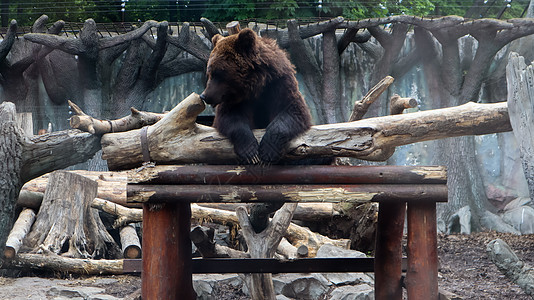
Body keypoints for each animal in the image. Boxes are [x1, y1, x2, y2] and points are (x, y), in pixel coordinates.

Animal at [199, 27, 312, 164]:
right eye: (209, 72)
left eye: (217, 74)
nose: (204, 96)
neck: (256, 86)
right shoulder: (236, 101)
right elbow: (229, 117)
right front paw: (250, 152)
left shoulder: (279, 84)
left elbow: (293, 110)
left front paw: (268, 151)